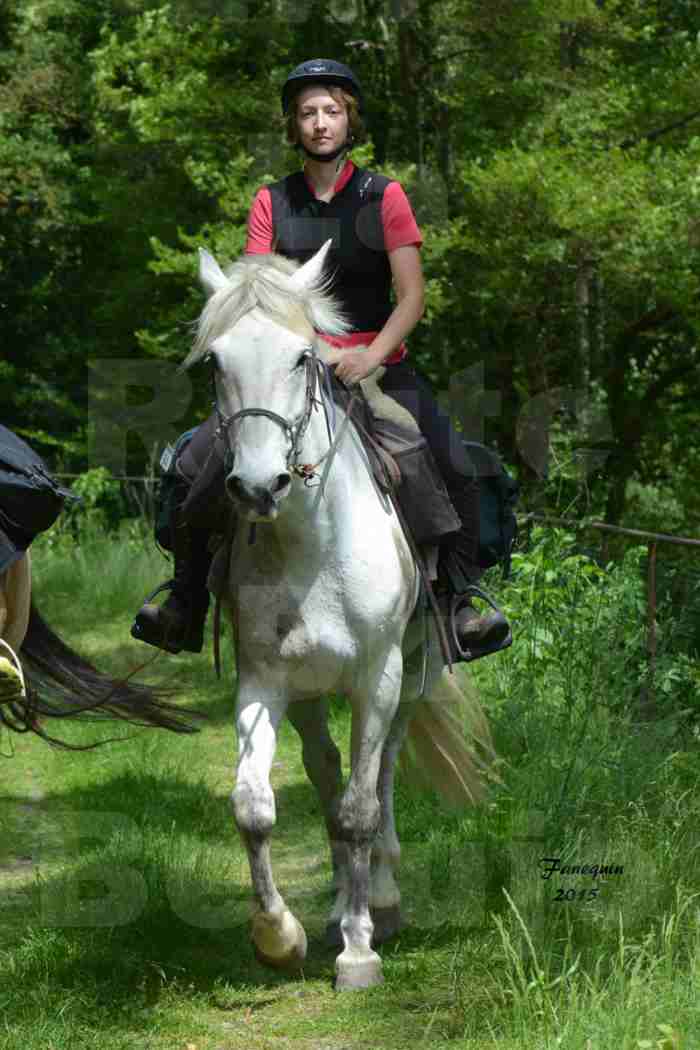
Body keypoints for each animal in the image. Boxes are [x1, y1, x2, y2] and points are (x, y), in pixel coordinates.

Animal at [185, 241, 493, 986]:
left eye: (303, 357)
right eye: (215, 361)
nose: (259, 486)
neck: (310, 543)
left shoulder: (377, 678)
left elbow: (359, 807)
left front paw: (359, 947)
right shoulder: (263, 681)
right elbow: (254, 806)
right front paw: (279, 935)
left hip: (412, 672)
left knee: (377, 777)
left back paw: (379, 896)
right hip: (307, 694)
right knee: (325, 772)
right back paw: (331, 907)